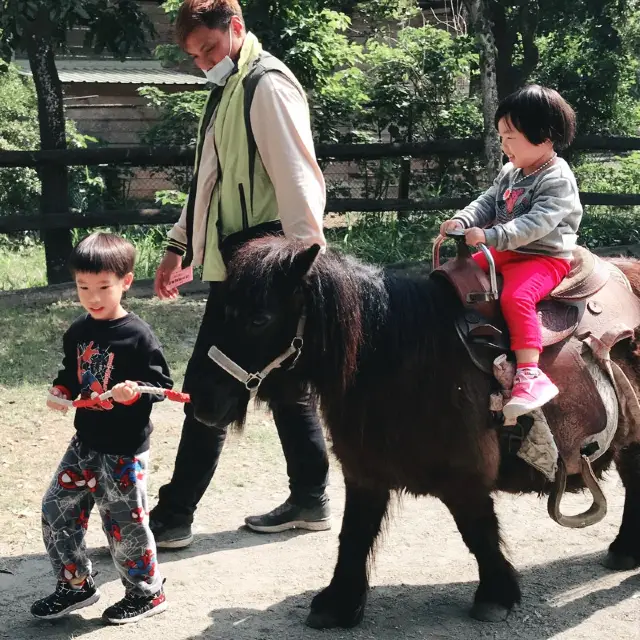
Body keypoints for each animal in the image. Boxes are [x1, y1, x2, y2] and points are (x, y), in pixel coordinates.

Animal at [190, 236, 640, 632]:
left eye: (258, 319)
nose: (200, 402)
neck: (405, 360)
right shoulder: (365, 473)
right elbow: (353, 536)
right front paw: (338, 604)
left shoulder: (463, 481)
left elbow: (478, 533)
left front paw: (496, 595)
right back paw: (624, 551)